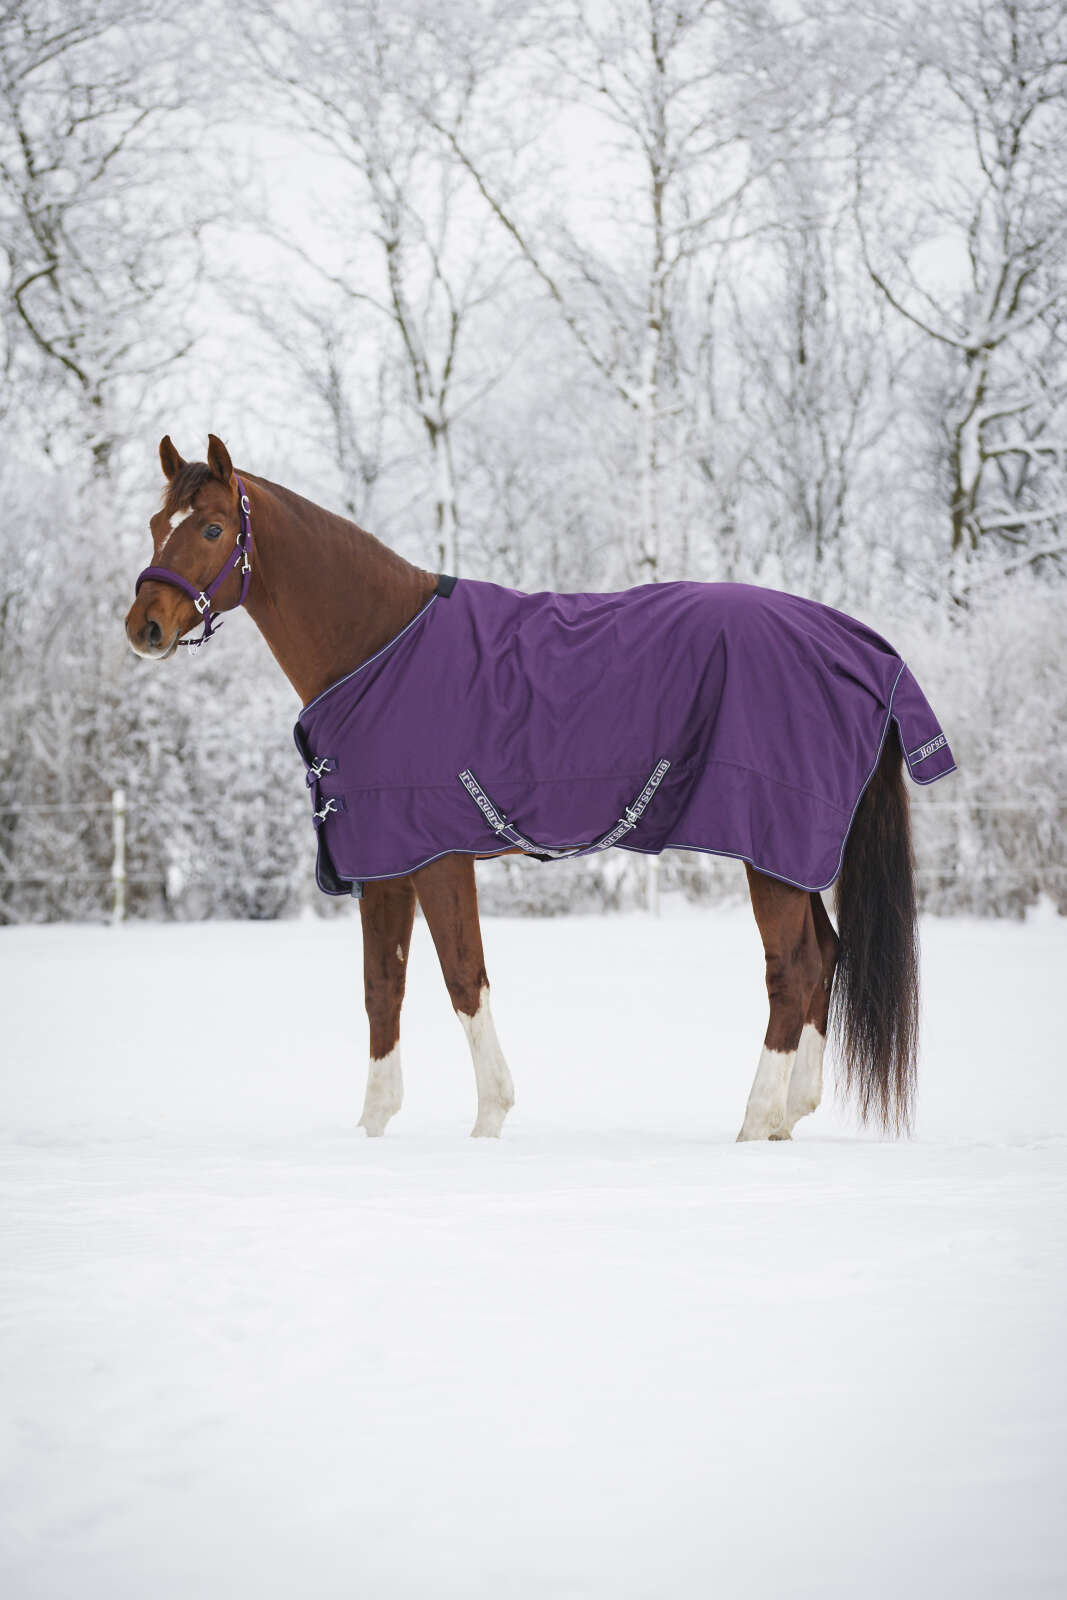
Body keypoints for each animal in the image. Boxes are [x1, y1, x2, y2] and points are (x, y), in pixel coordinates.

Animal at [125, 434, 955, 1141]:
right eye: (156, 523)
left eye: (210, 529)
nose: (144, 627)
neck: (378, 647)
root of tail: (861, 648)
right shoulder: (384, 866)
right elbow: (381, 990)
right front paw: (372, 1129)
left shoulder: (437, 859)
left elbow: (463, 980)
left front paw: (488, 1123)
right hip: (792, 854)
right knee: (827, 953)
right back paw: (789, 1116)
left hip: (770, 848)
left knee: (794, 969)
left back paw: (754, 1126)